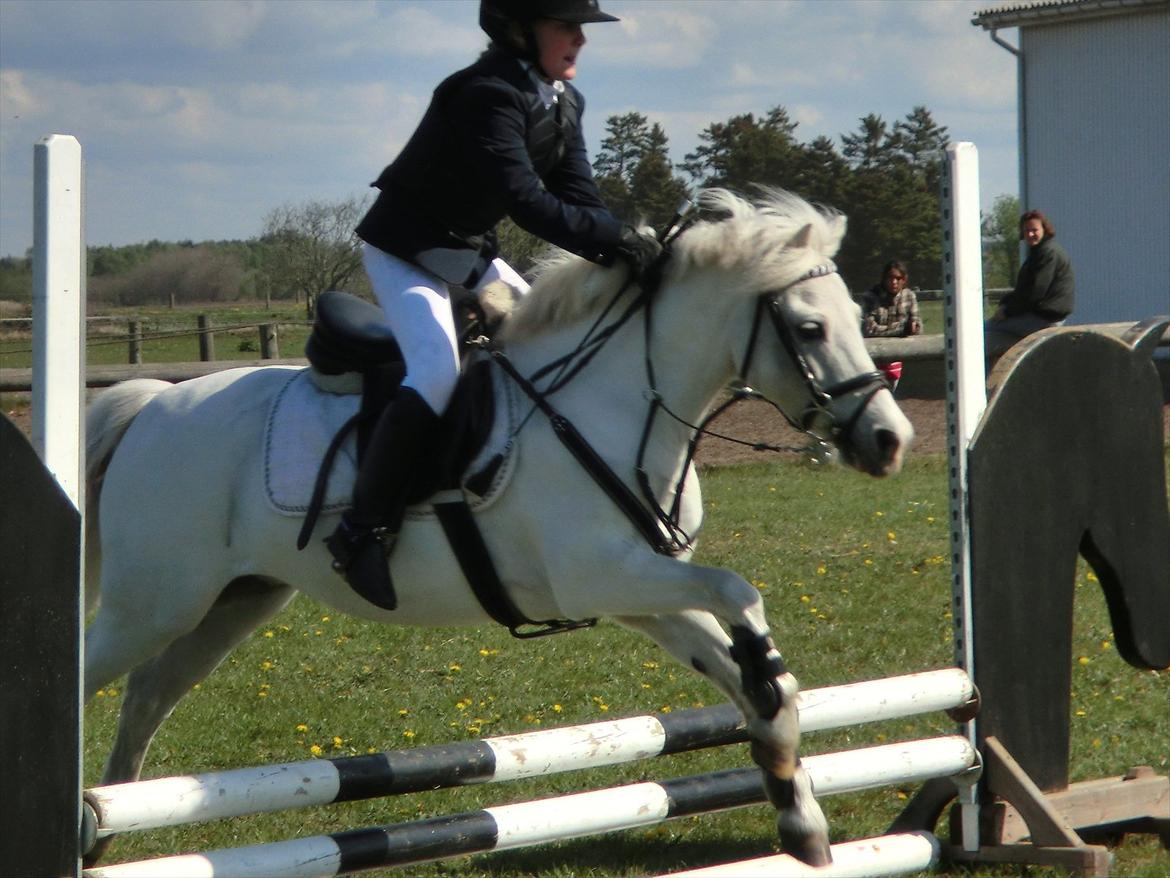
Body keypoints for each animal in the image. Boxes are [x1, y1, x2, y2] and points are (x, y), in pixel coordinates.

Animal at [83, 188, 914, 867]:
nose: (890, 440)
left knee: (149, 693)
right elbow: (741, 596)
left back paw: (106, 824)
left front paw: (797, 811)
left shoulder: (638, 590)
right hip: (151, 603)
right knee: (100, 670)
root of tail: (153, 404)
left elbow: (739, 660)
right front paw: (775, 724)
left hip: (236, 600)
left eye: (855, 320)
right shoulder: (601, 575)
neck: (618, 403)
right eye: (810, 327)